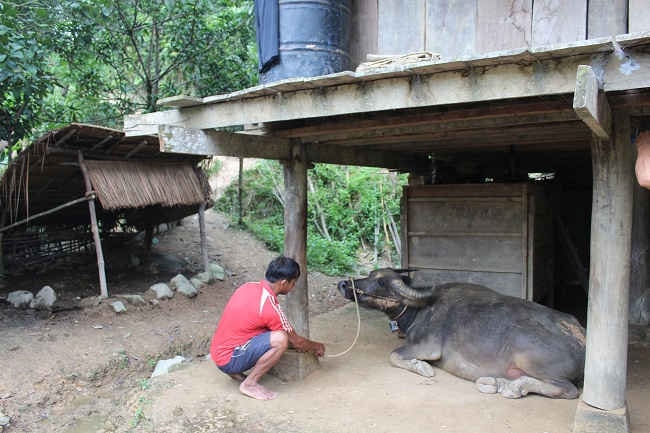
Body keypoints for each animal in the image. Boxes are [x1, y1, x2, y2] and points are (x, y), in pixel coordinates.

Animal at [336, 270, 584, 398]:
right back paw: (497, 383)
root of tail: (582, 340)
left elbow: (394, 355)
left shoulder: (427, 347)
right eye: (369, 275)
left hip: (530, 359)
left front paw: (422, 368)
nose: (343, 284)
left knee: (568, 389)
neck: (420, 309)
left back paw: (513, 388)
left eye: (380, 281)